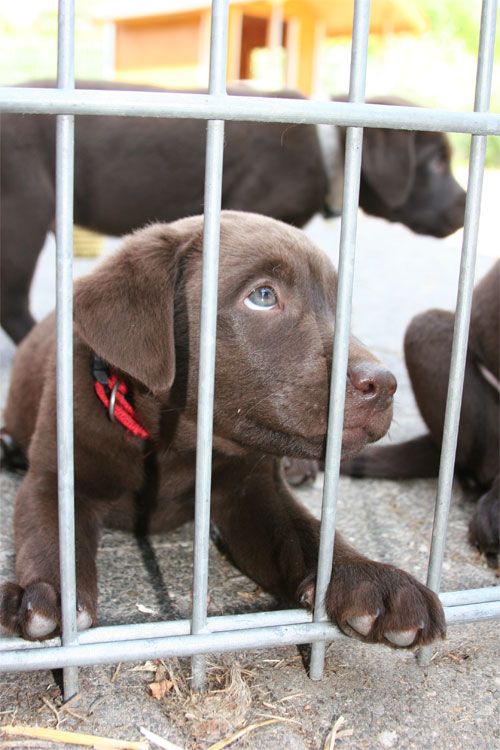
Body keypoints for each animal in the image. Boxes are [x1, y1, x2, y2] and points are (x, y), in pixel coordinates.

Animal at [0, 212, 446, 648]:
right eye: (263, 296)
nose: (384, 385)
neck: (175, 446)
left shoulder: (253, 488)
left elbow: (309, 532)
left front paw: (373, 579)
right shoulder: (54, 477)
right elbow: (51, 535)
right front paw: (43, 597)